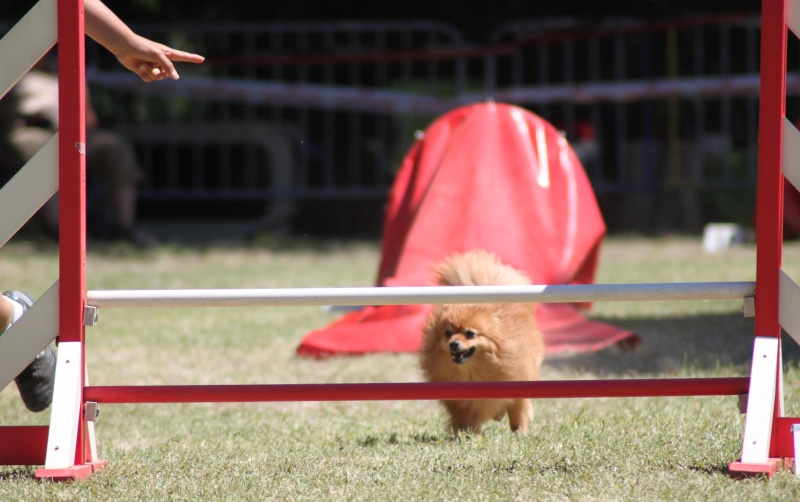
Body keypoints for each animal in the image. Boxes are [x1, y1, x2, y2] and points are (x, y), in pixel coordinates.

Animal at [418, 251, 544, 436]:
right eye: (447, 334)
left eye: (470, 334)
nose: (453, 343)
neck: (472, 373)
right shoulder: (463, 405)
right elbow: (468, 421)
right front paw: (468, 436)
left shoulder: (518, 380)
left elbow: (519, 411)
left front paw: (520, 432)